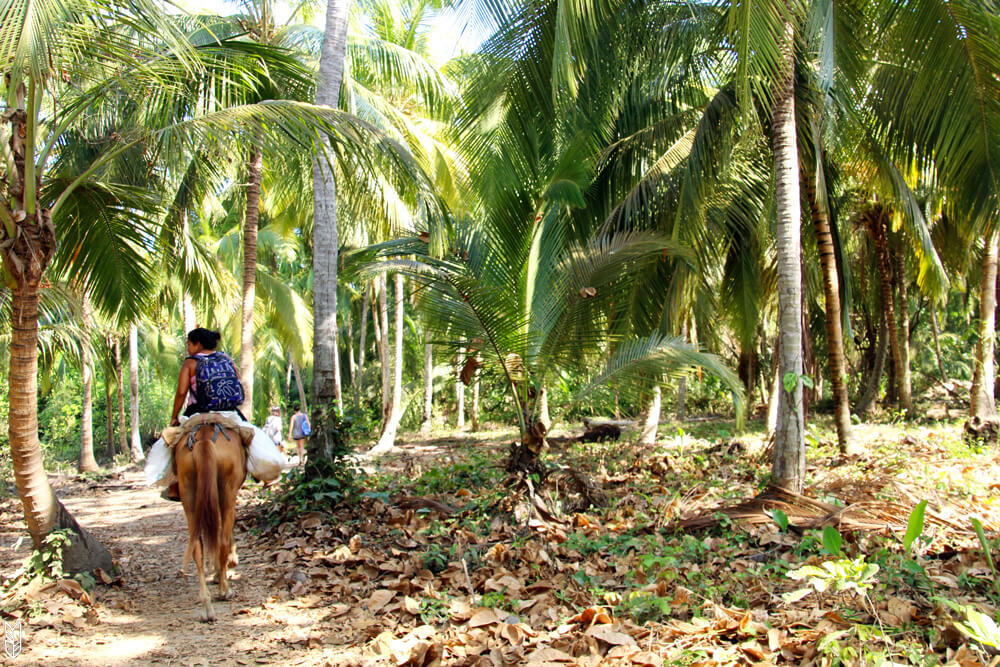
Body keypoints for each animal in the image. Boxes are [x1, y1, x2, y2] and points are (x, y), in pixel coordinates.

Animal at [175, 426, 247, 624]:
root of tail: (204, 440)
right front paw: (228, 564)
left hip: (188, 492)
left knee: (197, 548)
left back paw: (206, 607)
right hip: (227, 491)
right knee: (221, 540)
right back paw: (225, 590)